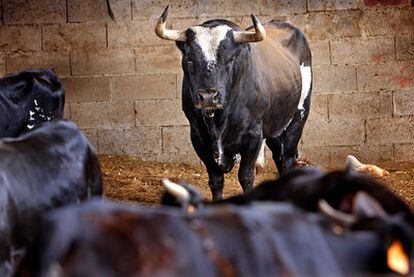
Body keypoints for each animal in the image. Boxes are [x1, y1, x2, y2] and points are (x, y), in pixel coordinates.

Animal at [156, 6, 314, 199]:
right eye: (190, 59)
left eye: (230, 59)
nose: (208, 97)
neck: (218, 120)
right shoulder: (198, 136)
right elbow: (216, 180)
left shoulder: (253, 135)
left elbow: (246, 177)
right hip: (275, 126)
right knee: (279, 156)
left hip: (299, 116)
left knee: (287, 159)